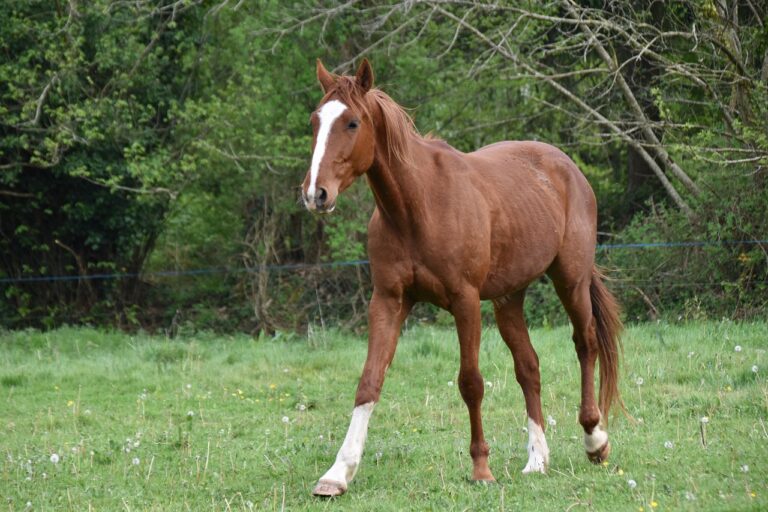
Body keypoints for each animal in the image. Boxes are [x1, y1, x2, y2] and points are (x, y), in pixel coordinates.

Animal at [300, 59, 622, 497]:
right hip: (509, 298)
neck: (416, 207)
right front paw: (337, 472)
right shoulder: (388, 300)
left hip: (570, 280)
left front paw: (481, 468)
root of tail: (566, 167)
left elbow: (471, 383)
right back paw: (537, 459)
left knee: (585, 344)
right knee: (529, 367)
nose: (315, 193)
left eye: (352, 123)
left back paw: (594, 439)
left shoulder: (465, 301)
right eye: (315, 121)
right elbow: (369, 381)